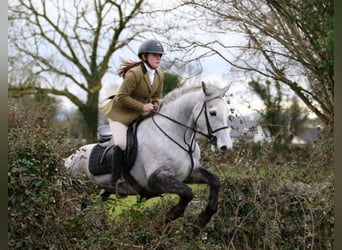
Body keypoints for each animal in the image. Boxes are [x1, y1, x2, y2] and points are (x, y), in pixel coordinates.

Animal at [64, 81, 234, 227]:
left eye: (226, 111)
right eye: (212, 113)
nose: (225, 146)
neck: (178, 137)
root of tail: (68, 160)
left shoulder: (189, 173)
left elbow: (214, 181)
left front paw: (204, 218)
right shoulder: (156, 178)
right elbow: (187, 193)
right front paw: (169, 216)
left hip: (101, 192)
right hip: (83, 189)